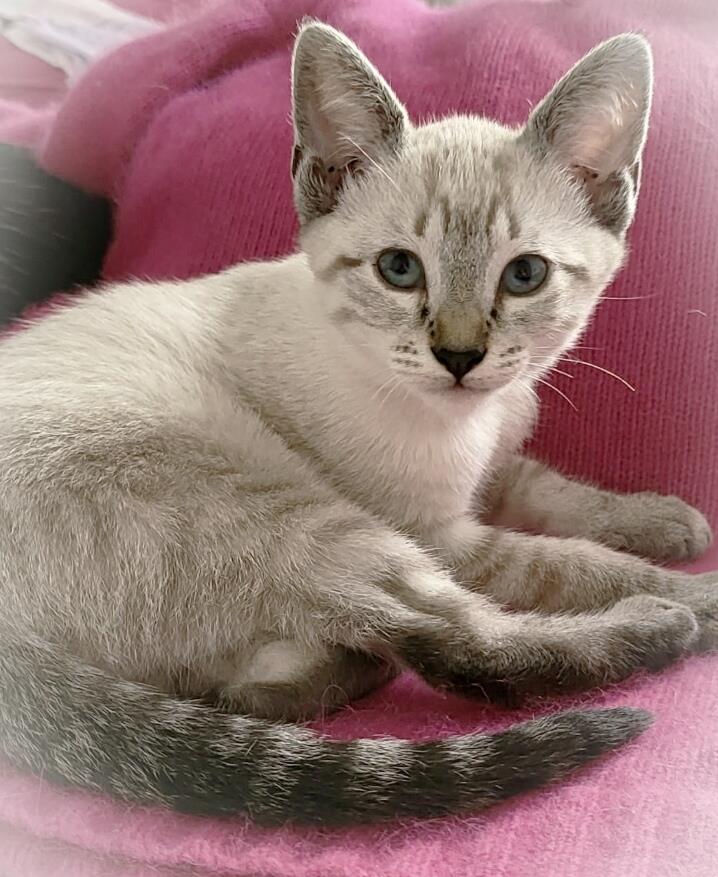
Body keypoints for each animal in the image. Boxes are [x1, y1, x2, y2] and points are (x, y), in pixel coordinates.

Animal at [0, 21, 715, 827]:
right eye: (399, 270)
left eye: (524, 275)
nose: (459, 356)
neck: (466, 422)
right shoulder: (441, 534)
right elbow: (567, 562)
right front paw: (695, 588)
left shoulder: (494, 470)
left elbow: (562, 495)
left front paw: (666, 520)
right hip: (294, 514)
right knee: (459, 644)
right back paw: (665, 623)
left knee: (268, 680)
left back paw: (298, 678)